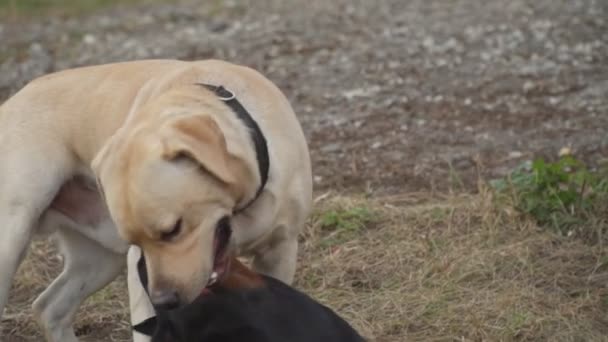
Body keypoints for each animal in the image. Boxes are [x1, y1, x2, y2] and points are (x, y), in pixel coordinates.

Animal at [0, 59, 314, 342]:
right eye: (137, 243)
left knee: (50, 307)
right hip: (12, 241)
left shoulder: (280, 251)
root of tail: (10, 102)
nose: (164, 301)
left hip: (100, 259)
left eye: (173, 229)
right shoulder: (139, 273)